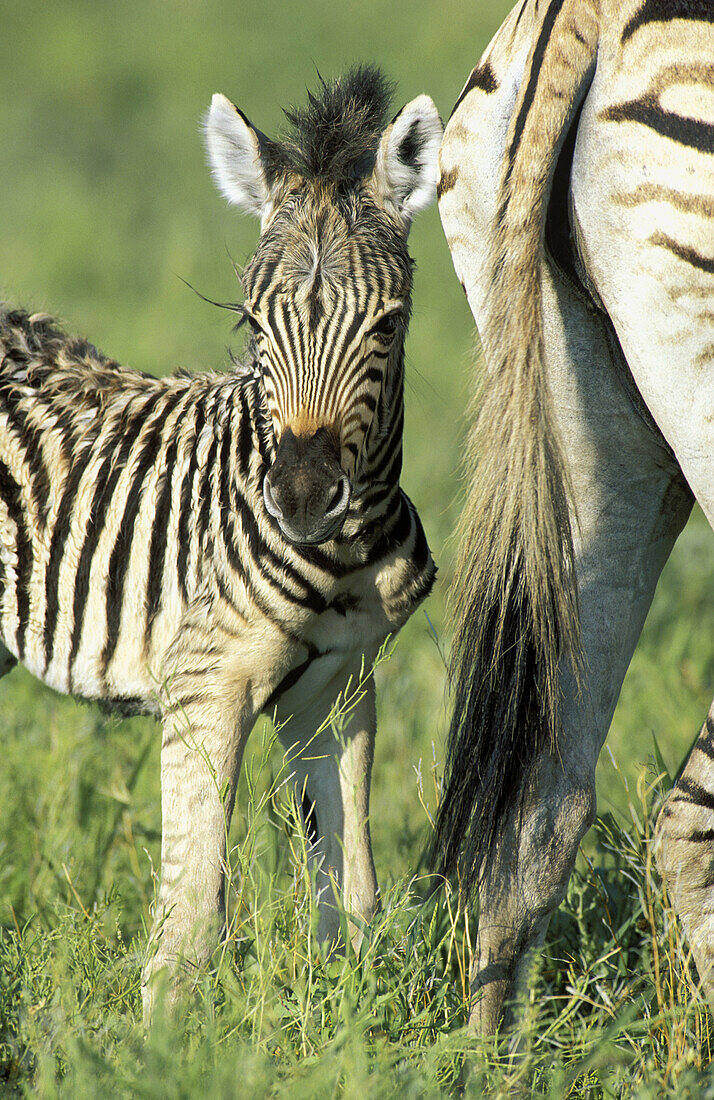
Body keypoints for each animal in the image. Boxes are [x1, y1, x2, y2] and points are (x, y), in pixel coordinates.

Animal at [0, 68, 440, 1016]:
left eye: (386, 327)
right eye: (252, 323)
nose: (303, 499)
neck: (342, 560)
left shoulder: (340, 692)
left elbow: (351, 896)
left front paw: (353, 1019)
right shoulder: (205, 684)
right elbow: (193, 916)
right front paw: (164, 1037)